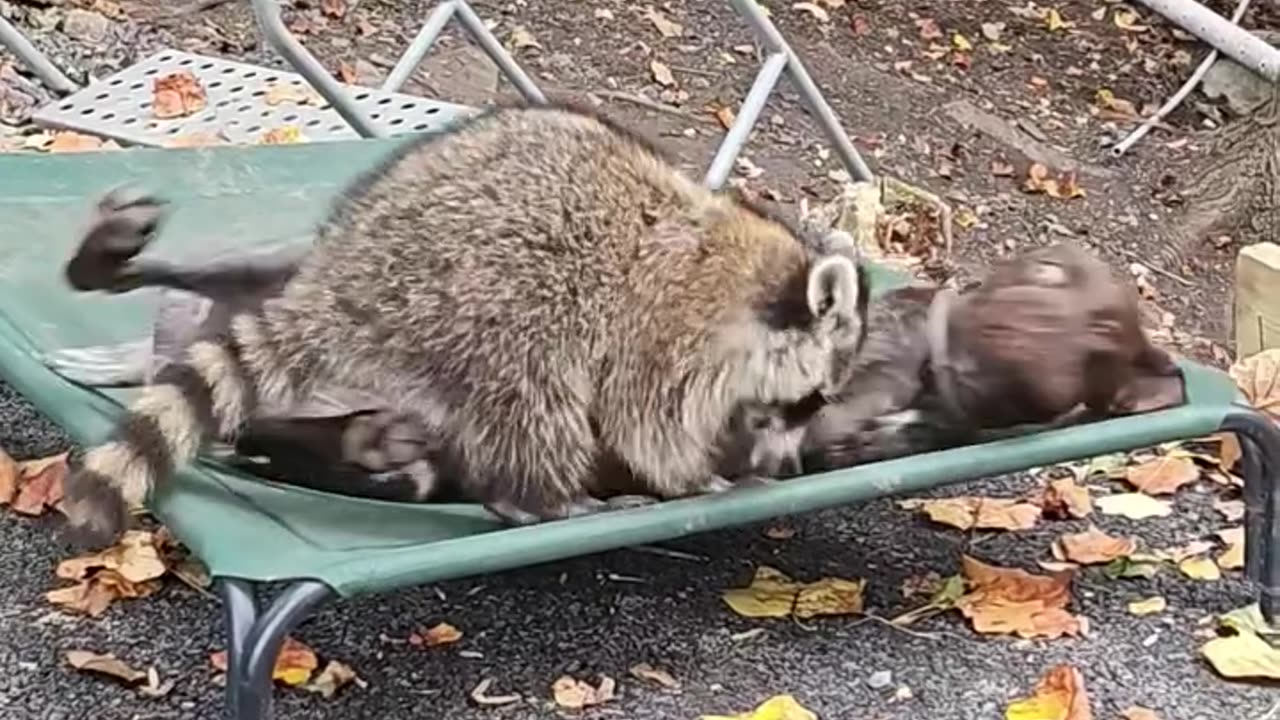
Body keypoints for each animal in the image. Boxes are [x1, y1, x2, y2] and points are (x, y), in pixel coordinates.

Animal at [61, 103, 866, 546]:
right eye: (812, 399)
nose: (787, 465)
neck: (758, 276)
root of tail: (347, 285)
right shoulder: (664, 323)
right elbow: (643, 417)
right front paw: (692, 475)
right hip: (486, 304)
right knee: (534, 397)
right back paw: (539, 499)